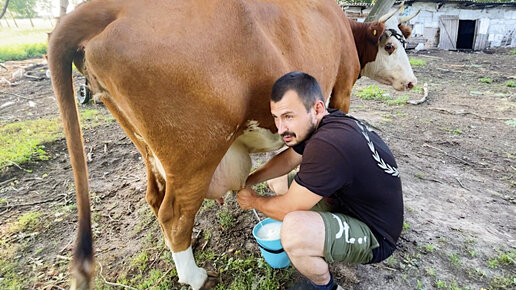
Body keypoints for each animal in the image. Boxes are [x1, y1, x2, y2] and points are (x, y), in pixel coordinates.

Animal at [48, 1, 418, 288]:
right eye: (390, 47)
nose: (412, 82)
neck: (344, 29)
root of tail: (107, 7)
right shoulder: (340, 88)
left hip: (146, 146)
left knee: (154, 196)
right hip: (195, 153)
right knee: (174, 214)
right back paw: (195, 277)